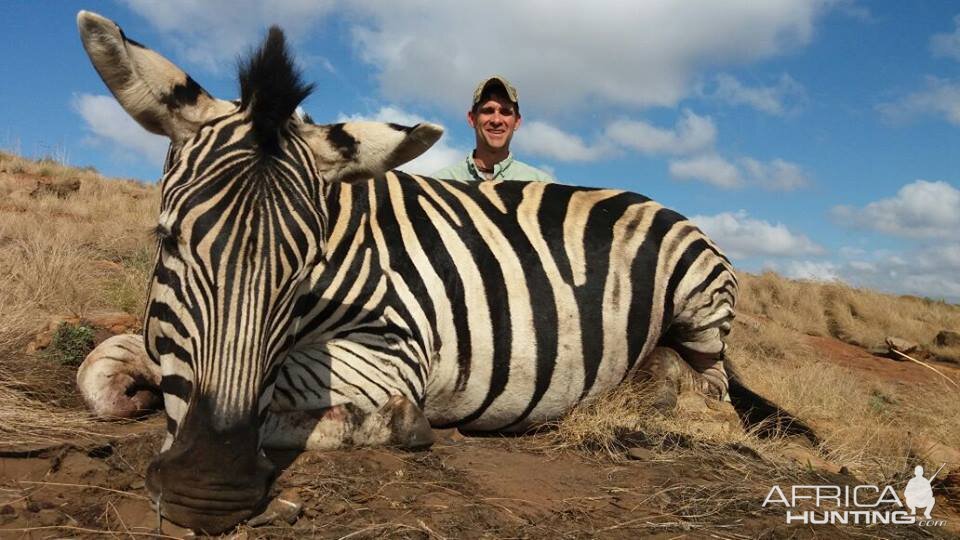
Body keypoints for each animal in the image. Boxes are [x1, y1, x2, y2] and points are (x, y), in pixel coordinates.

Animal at [77, 10, 752, 532]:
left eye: (305, 265)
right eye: (167, 240)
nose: (209, 489)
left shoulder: (395, 348)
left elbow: (289, 401)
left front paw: (390, 422)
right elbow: (100, 370)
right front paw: (133, 384)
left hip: (699, 303)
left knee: (717, 397)